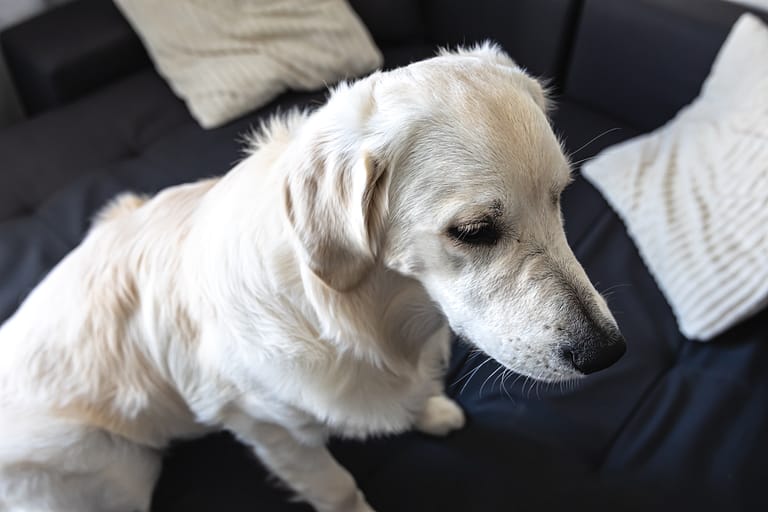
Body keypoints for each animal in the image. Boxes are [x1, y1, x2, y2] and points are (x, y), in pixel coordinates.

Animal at [0, 45, 624, 512]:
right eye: (474, 230)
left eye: (560, 197)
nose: (609, 354)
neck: (368, 315)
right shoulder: (267, 427)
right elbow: (338, 487)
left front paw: (430, 409)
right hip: (112, 466)